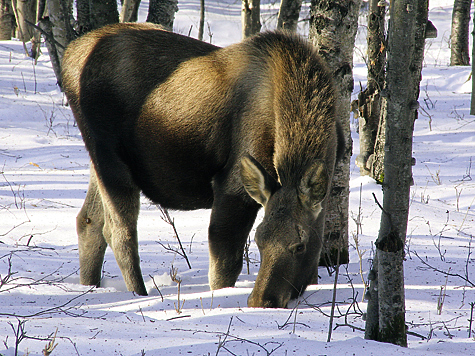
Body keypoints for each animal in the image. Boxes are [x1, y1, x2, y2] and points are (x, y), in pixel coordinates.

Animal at [63, 22, 344, 308]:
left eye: (300, 245)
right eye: (259, 240)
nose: (260, 300)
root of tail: (68, 57)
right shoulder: (232, 187)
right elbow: (224, 269)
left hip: (97, 160)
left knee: (88, 220)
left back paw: (91, 287)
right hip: (109, 155)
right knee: (119, 231)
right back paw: (139, 293)